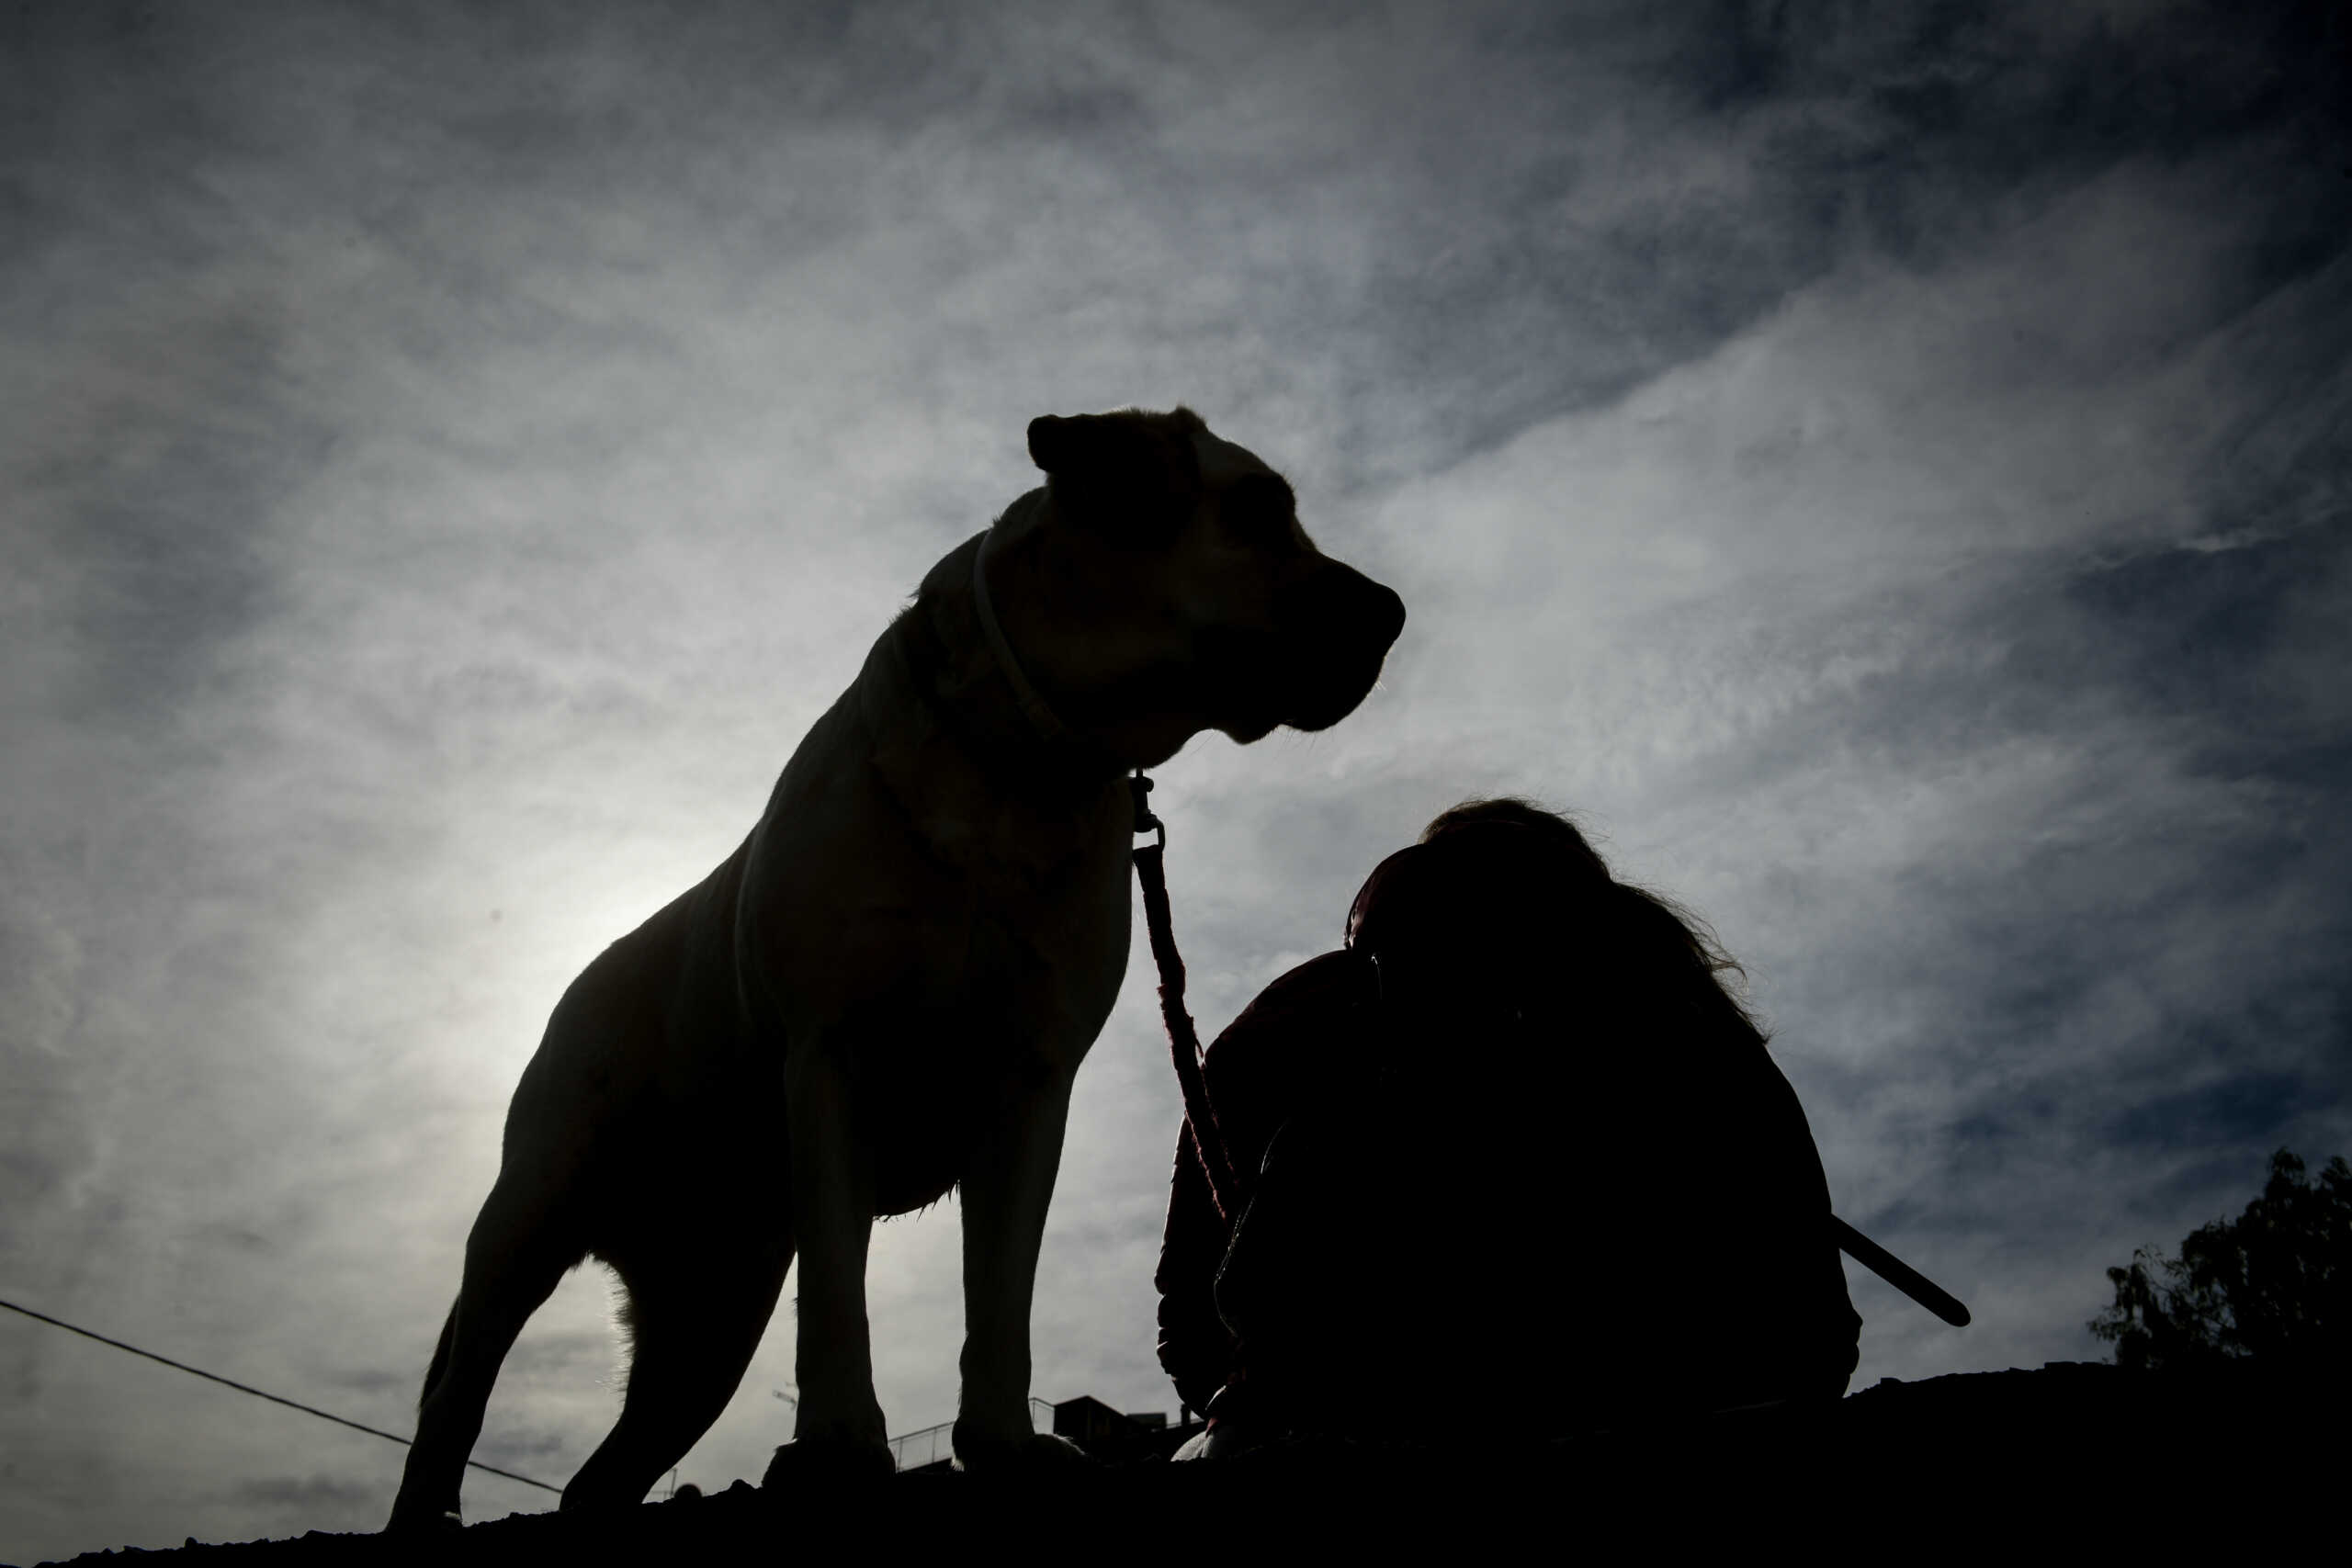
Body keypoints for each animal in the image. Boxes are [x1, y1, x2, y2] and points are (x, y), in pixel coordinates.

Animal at [385, 411, 1392, 1523]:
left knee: (599, 1475)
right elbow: (838, 1292)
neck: (1015, 761)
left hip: (709, 1321)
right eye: (1255, 509)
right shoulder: (833, 1055)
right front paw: (837, 1449)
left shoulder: (1028, 1088)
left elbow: (999, 1295)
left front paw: (1002, 1446)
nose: (1391, 613)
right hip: (529, 1214)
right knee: (455, 1398)